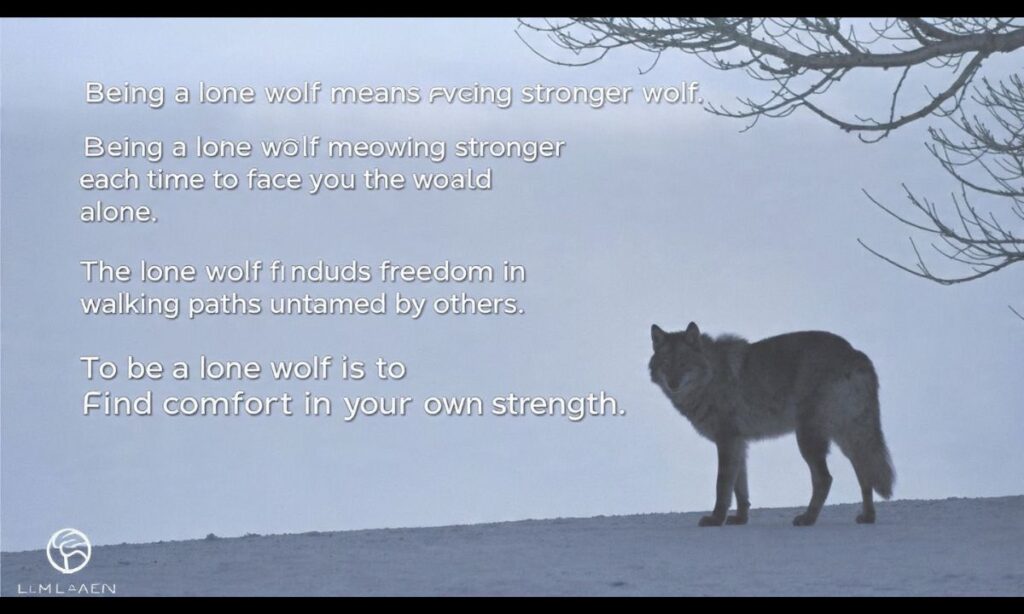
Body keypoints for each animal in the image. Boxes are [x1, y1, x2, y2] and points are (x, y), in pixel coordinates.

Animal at [649, 322, 895, 527]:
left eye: (683, 364)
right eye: (666, 364)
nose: (672, 383)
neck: (712, 377)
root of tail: (855, 354)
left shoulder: (727, 441)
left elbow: (722, 487)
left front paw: (716, 519)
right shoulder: (739, 444)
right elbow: (740, 490)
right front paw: (740, 519)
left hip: (808, 440)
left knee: (825, 479)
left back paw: (808, 518)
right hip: (849, 439)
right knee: (865, 473)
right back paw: (868, 516)